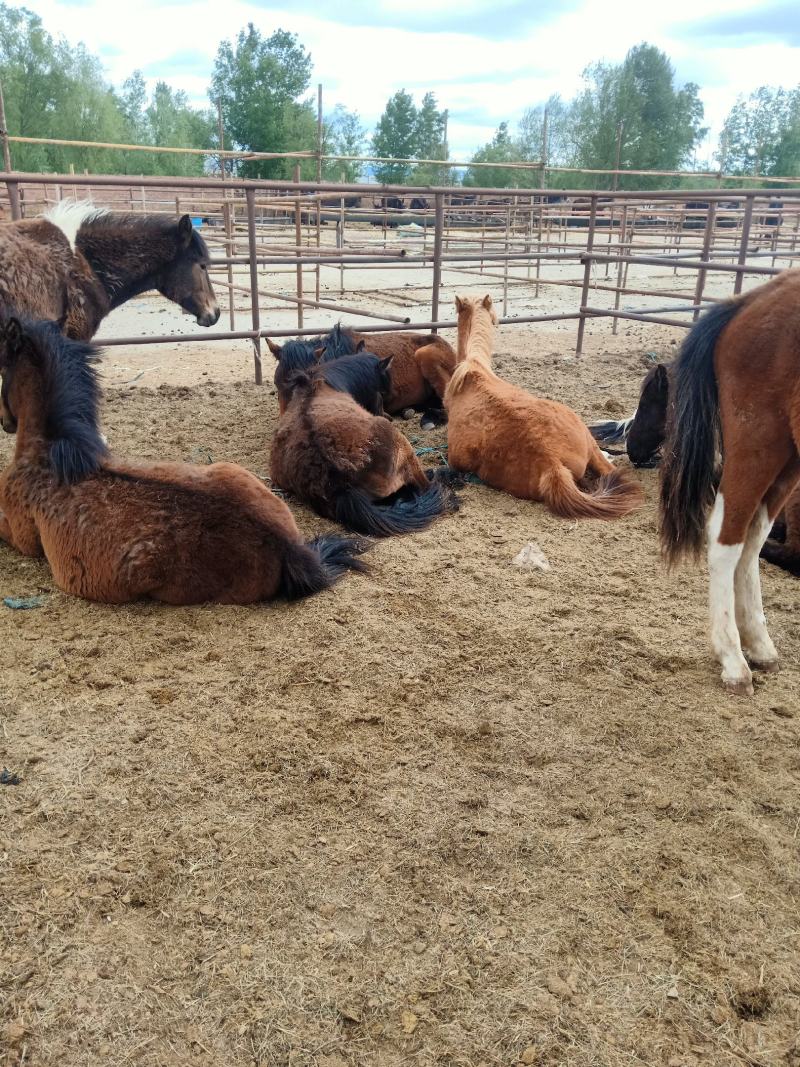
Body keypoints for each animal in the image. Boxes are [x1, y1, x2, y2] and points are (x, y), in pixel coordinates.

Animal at [659, 270, 800, 695]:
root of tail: (749, 301)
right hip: (760, 442)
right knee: (727, 538)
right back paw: (734, 659)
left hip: (788, 459)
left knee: (751, 540)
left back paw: (758, 644)